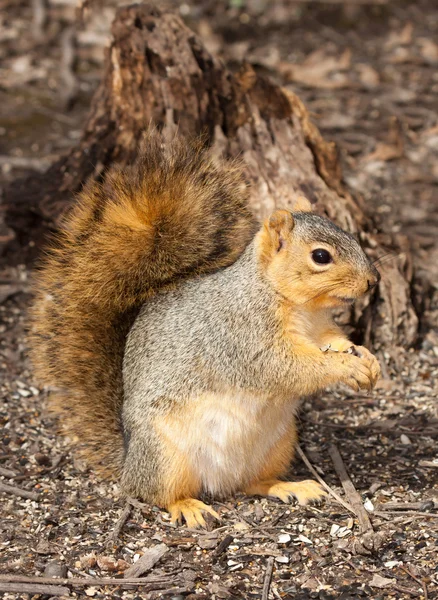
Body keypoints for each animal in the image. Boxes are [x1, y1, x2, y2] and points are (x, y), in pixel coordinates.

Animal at [30, 129, 380, 528]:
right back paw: (187, 506)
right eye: (321, 256)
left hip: (279, 444)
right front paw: (346, 366)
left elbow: (333, 341)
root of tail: (129, 461)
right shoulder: (241, 336)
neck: (300, 306)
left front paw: (367, 359)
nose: (373, 281)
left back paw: (289, 486)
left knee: (252, 483)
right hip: (165, 456)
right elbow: (285, 366)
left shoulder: (320, 328)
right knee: (156, 494)